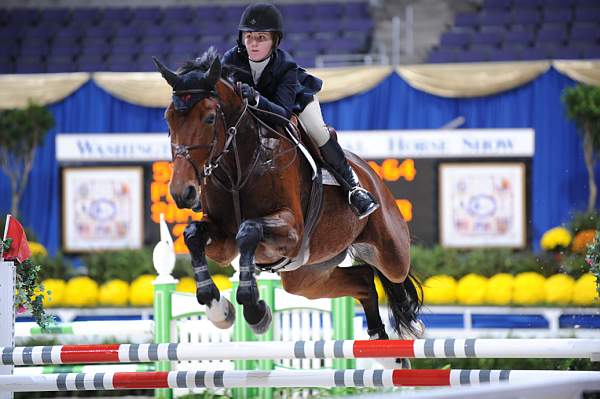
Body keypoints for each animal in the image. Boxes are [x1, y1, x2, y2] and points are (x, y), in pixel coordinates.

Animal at [156, 49, 422, 344]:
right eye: (168, 119)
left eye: (210, 118)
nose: (182, 192)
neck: (238, 167)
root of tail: (369, 173)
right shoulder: (224, 243)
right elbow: (193, 235)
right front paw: (218, 309)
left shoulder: (292, 231)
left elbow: (248, 229)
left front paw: (255, 311)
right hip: (307, 276)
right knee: (363, 279)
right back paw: (381, 340)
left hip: (390, 251)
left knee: (393, 275)